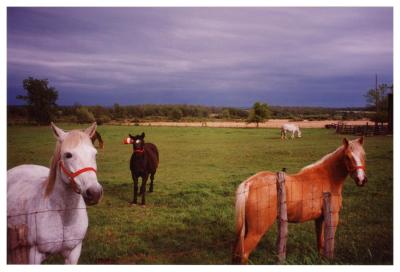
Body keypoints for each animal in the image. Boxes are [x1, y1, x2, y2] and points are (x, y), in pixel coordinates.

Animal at [7, 123, 103, 264]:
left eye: (95, 154)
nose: (94, 192)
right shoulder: (35, 254)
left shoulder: (73, 253)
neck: (64, 216)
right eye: (68, 155)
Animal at [233, 138, 368, 264]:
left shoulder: (319, 219)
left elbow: (320, 242)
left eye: (364, 154)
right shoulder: (333, 217)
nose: (361, 180)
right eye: (348, 157)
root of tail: (249, 183)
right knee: (244, 254)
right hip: (256, 231)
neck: (327, 177)